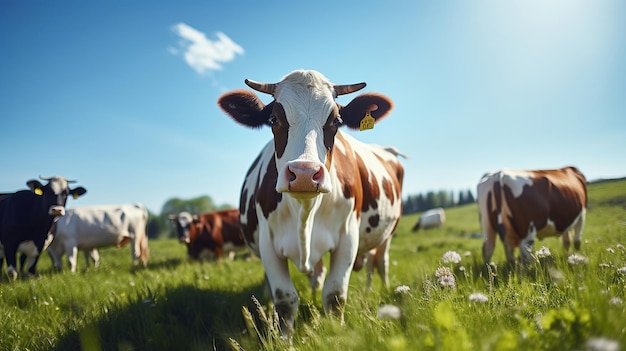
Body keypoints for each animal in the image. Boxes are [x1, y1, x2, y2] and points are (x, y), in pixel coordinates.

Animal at [219, 69, 402, 332]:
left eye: (336, 121)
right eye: (274, 120)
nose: (304, 174)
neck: (304, 210)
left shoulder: (348, 236)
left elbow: (335, 296)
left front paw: (337, 333)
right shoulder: (267, 241)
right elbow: (285, 300)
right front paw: (283, 337)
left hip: (387, 233)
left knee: (379, 262)